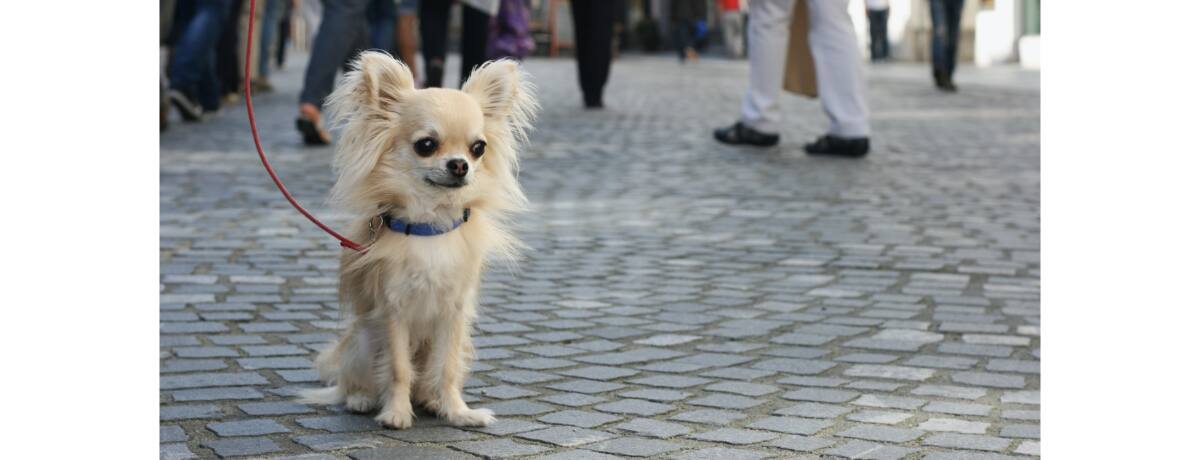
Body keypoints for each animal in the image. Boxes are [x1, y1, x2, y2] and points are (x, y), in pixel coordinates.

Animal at [302, 52, 537, 429]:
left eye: (478, 148)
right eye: (426, 145)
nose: (460, 165)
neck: (431, 226)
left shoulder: (455, 315)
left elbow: (448, 369)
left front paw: (458, 412)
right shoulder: (393, 311)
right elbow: (398, 369)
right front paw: (396, 414)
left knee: (429, 378)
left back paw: (431, 400)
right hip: (363, 341)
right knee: (353, 380)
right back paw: (361, 399)